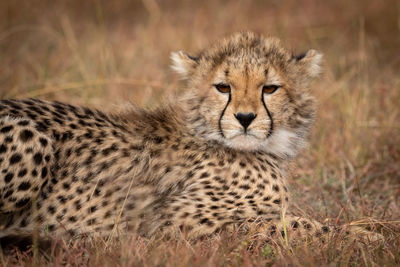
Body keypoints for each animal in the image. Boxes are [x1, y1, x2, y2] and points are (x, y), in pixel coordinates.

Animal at [0, 31, 382, 243]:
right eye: (223, 87)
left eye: (270, 88)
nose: (245, 118)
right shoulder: (176, 225)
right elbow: (297, 225)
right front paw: (366, 235)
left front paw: (366, 228)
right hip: (32, 138)